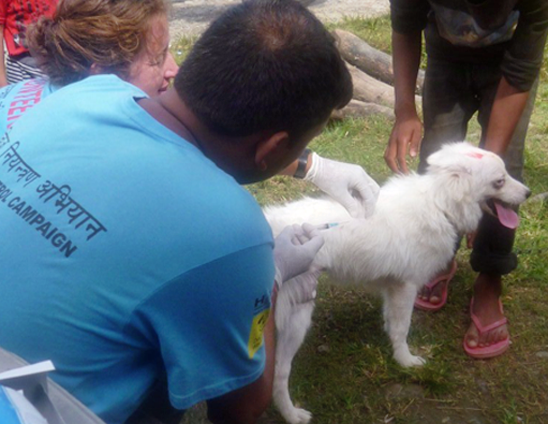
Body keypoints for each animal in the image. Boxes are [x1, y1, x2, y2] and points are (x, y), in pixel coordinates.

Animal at [266, 142, 532, 424]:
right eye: (499, 181)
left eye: (506, 174)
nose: (529, 193)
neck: (439, 204)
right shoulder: (407, 286)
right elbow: (403, 328)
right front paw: (405, 361)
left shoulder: (393, 286)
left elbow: (392, 322)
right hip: (296, 317)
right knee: (279, 372)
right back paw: (291, 413)